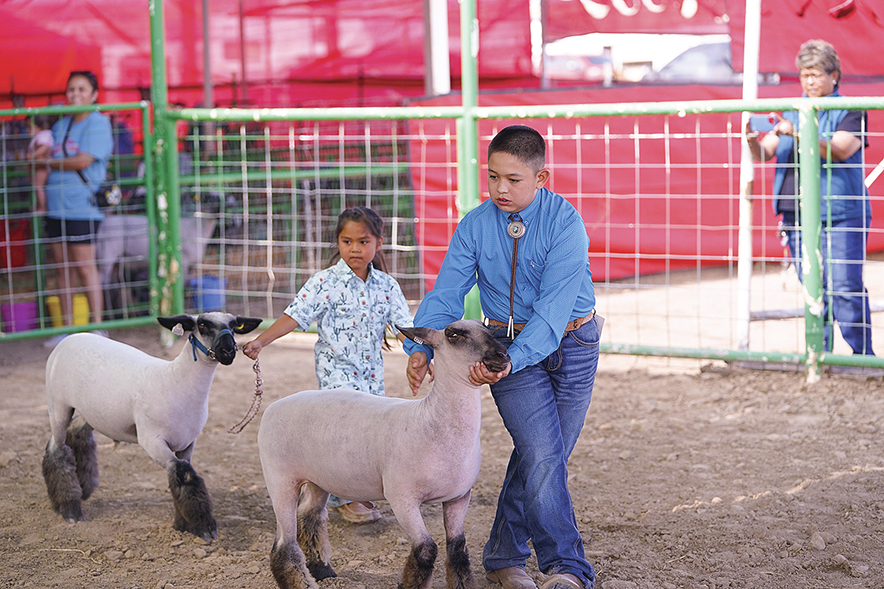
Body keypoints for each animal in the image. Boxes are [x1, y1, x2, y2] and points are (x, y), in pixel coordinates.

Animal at [41, 310, 260, 540]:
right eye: (202, 324)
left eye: (234, 326)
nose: (228, 351)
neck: (175, 381)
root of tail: (71, 337)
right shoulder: (152, 441)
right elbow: (184, 473)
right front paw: (203, 526)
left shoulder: (187, 444)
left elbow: (180, 477)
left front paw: (182, 524)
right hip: (58, 405)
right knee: (57, 450)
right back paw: (69, 508)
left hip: (94, 412)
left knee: (77, 432)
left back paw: (84, 487)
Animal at [256, 320, 512, 588]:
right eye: (453, 334)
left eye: (488, 329)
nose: (503, 355)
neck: (431, 420)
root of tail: (272, 407)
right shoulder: (402, 498)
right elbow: (426, 549)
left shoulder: (459, 497)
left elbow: (458, 548)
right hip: (280, 480)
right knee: (284, 545)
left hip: (319, 479)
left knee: (311, 517)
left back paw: (322, 570)